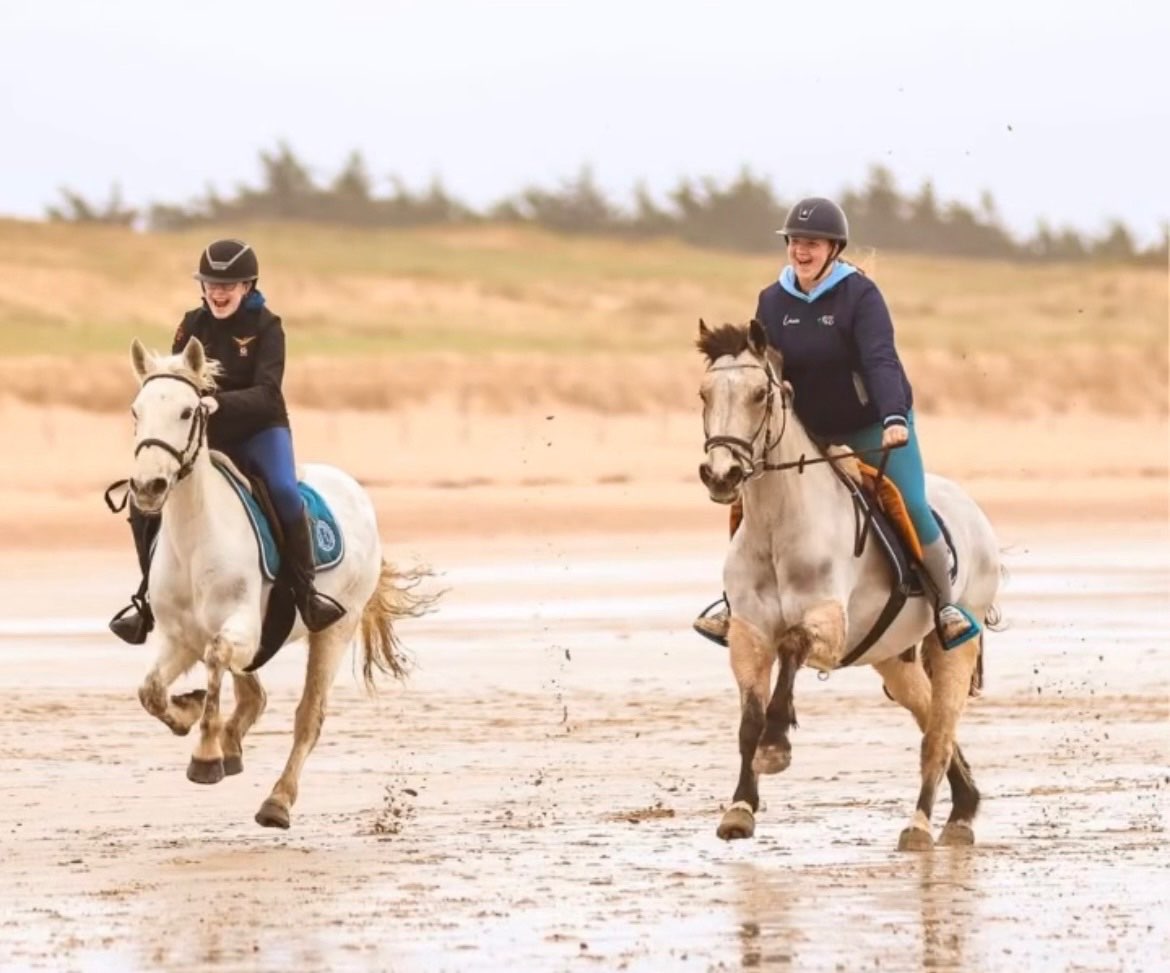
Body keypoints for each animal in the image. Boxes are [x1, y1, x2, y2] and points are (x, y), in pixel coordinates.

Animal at [123, 336, 426, 829]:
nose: (147, 487)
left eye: (187, 412)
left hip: (335, 630)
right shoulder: (180, 638)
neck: (194, 540)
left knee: (308, 717)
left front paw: (205, 755)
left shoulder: (239, 629)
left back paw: (276, 801)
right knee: (253, 694)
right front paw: (188, 715)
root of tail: (356, 491)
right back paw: (232, 743)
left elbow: (217, 660)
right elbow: (150, 691)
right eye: (136, 411)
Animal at [696, 320, 1002, 850]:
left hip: (956, 647)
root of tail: (973, 510)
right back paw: (963, 809)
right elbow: (747, 721)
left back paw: (921, 825)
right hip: (894, 660)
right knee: (929, 719)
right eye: (703, 394)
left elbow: (792, 647)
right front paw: (740, 810)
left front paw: (776, 746)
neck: (778, 526)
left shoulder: (829, 627)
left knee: (937, 735)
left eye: (759, 394)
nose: (721, 474)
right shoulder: (748, 637)